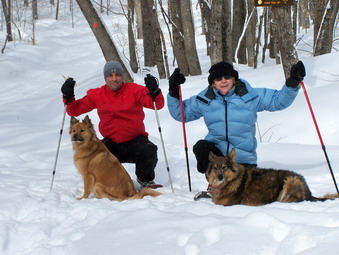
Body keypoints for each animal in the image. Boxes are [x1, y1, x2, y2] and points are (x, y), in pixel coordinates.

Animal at [206, 148, 336, 206]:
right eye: (215, 168)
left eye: (224, 167)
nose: (220, 177)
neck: (231, 181)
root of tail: (309, 192)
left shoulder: (225, 204)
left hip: (290, 181)